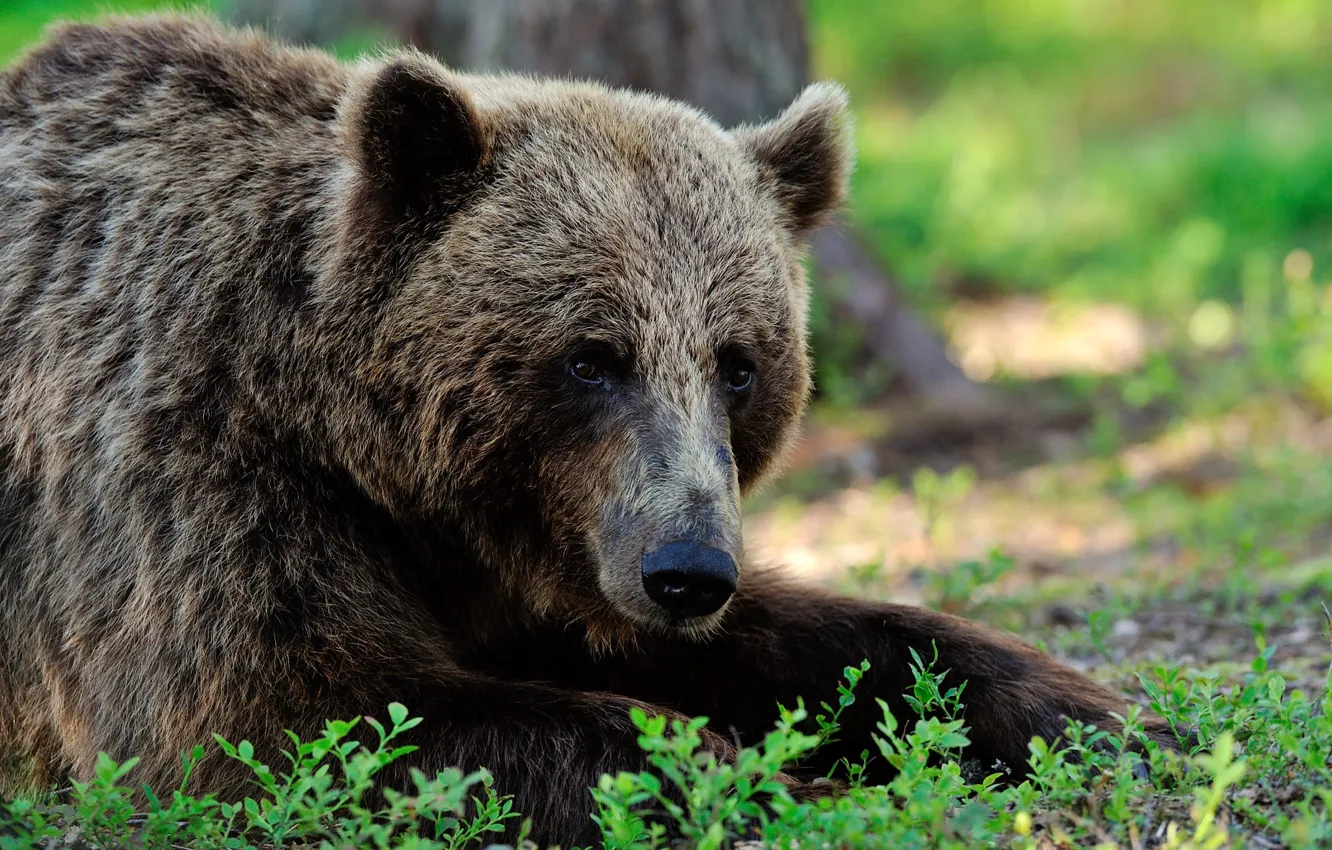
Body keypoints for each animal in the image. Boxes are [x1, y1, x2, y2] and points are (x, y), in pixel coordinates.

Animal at [0, 15, 1179, 845]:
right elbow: (297, 715)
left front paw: (1101, 719)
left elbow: (819, 640)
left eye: (738, 362)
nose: (689, 571)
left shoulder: (560, 546)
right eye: (591, 356)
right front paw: (770, 783)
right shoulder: (182, 462)